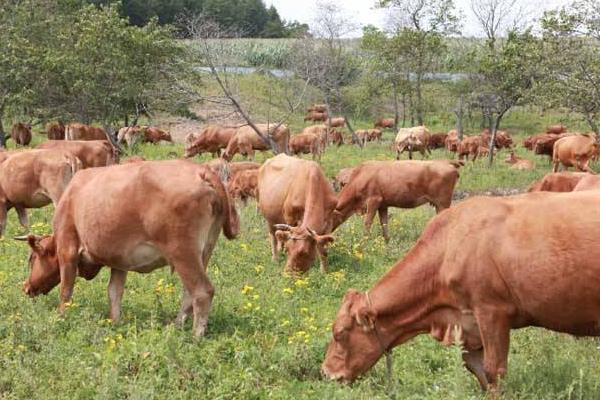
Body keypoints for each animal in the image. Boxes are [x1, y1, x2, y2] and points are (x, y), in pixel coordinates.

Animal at [19, 160, 239, 338]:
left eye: (32, 259)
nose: (26, 287)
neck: (72, 196)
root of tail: (202, 171)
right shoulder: (119, 262)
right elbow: (114, 292)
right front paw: (115, 322)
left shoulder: (67, 249)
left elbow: (66, 290)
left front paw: (61, 318)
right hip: (204, 251)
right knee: (188, 293)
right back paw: (175, 327)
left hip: (182, 253)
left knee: (202, 291)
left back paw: (195, 337)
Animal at [324, 191, 600, 390]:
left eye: (339, 333)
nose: (326, 372)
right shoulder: (467, 325)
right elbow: (478, 372)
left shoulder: (492, 312)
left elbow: (494, 371)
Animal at [330, 161, 462, 242]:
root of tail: (447, 163)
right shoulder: (383, 205)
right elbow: (384, 223)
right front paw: (386, 242)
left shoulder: (373, 200)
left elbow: (367, 223)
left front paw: (364, 241)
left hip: (443, 203)